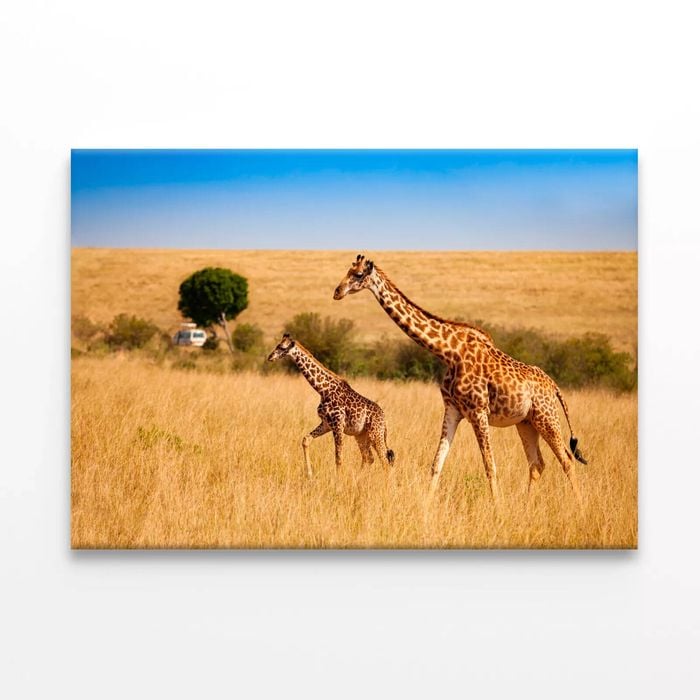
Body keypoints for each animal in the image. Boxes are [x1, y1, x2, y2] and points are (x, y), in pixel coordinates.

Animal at [267, 333, 395, 477]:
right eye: (277, 345)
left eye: (282, 347)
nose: (270, 357)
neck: (323, 390)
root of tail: (384, 419)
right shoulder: (326, 424)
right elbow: (306, 440)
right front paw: (309, 474)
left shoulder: (338, 425)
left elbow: (338, 457)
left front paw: (337, 479)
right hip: (361, 435)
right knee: (369, 458)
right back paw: (358, 477)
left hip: (376, 433)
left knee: (384, 459)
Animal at [333, 255, 587, 503]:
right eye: (347, 270)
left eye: (358, 274)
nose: (337, 291)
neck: (449, 352)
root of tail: (554, 386)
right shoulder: (453, 410)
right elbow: (437, 463)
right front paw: (426, 505)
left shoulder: (479, 411)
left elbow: (490, 466)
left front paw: (497, 508)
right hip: (526, 422)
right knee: (537, 464)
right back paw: (526, 506)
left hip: (547, 417)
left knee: (567, 460)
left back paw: (579, 506)